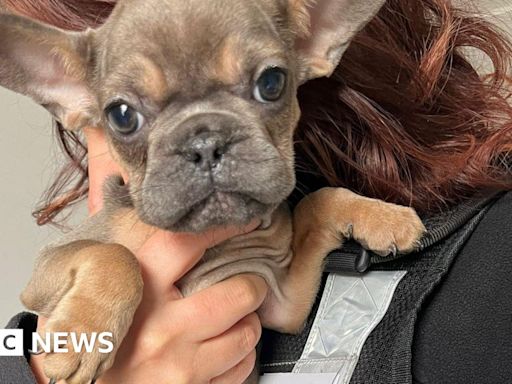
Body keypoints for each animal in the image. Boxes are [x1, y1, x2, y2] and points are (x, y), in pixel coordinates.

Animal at [0, 1, 424, 382]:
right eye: (121, 116)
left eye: (272, 83)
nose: (204, 142)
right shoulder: (45, 269)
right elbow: (115, 254)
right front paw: (80, 338)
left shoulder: (283, 303)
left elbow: (317, 203)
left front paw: (385, 217)